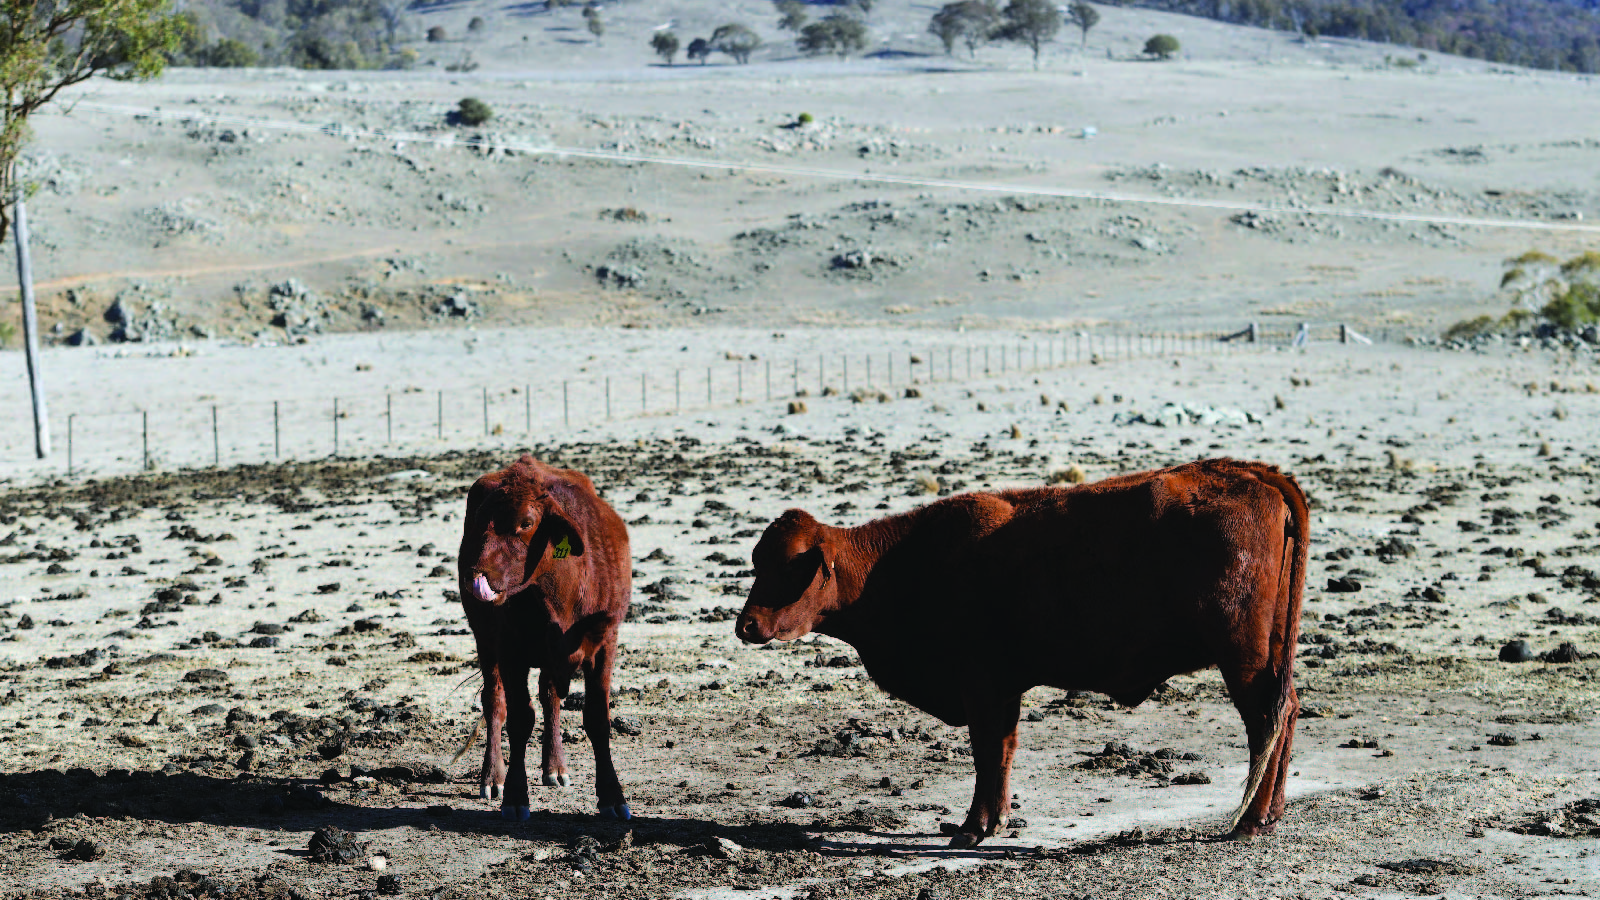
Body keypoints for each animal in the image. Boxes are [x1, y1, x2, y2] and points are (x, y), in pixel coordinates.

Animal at [457, 451, 630, 816]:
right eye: (479, 521)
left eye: (526, 522)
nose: (474, 574)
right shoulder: (509, 649)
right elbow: (519, 718)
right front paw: (514, 796)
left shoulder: (605, 641)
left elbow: (598, 718)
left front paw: (612, 797)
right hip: (485, 641)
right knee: (494, 702)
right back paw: (492, 776)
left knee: (550, 696)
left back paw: (555, 767)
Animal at [736, 458, 1312, 845]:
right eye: (758, 561)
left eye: (789, 566)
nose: (746, 625)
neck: (905, 562)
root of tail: (1254, 475)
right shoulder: (1003, 688)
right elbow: (1004, 752)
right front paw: (995, 820)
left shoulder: (982, 686)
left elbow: (988, 752)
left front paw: (972, 828)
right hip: (1268, 656)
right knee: (1287, 713)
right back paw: (1272, 813)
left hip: (1242, 658)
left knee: (1265, 720)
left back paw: (1250, 820)